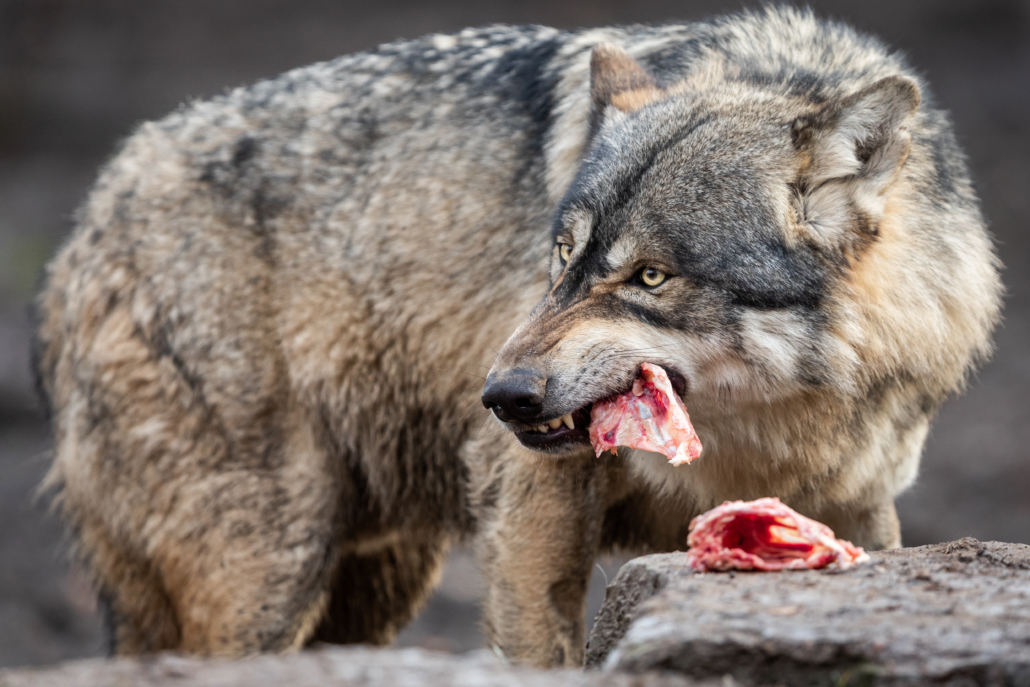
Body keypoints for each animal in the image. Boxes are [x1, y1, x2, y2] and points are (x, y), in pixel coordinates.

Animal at [32, 5, 997, 667]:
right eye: (562, 257)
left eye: (650, 277)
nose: (500, 396)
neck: (767, 431)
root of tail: (92, 213)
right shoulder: (532, 518)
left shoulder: (861, 507)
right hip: (269, 570)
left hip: (375, 581)